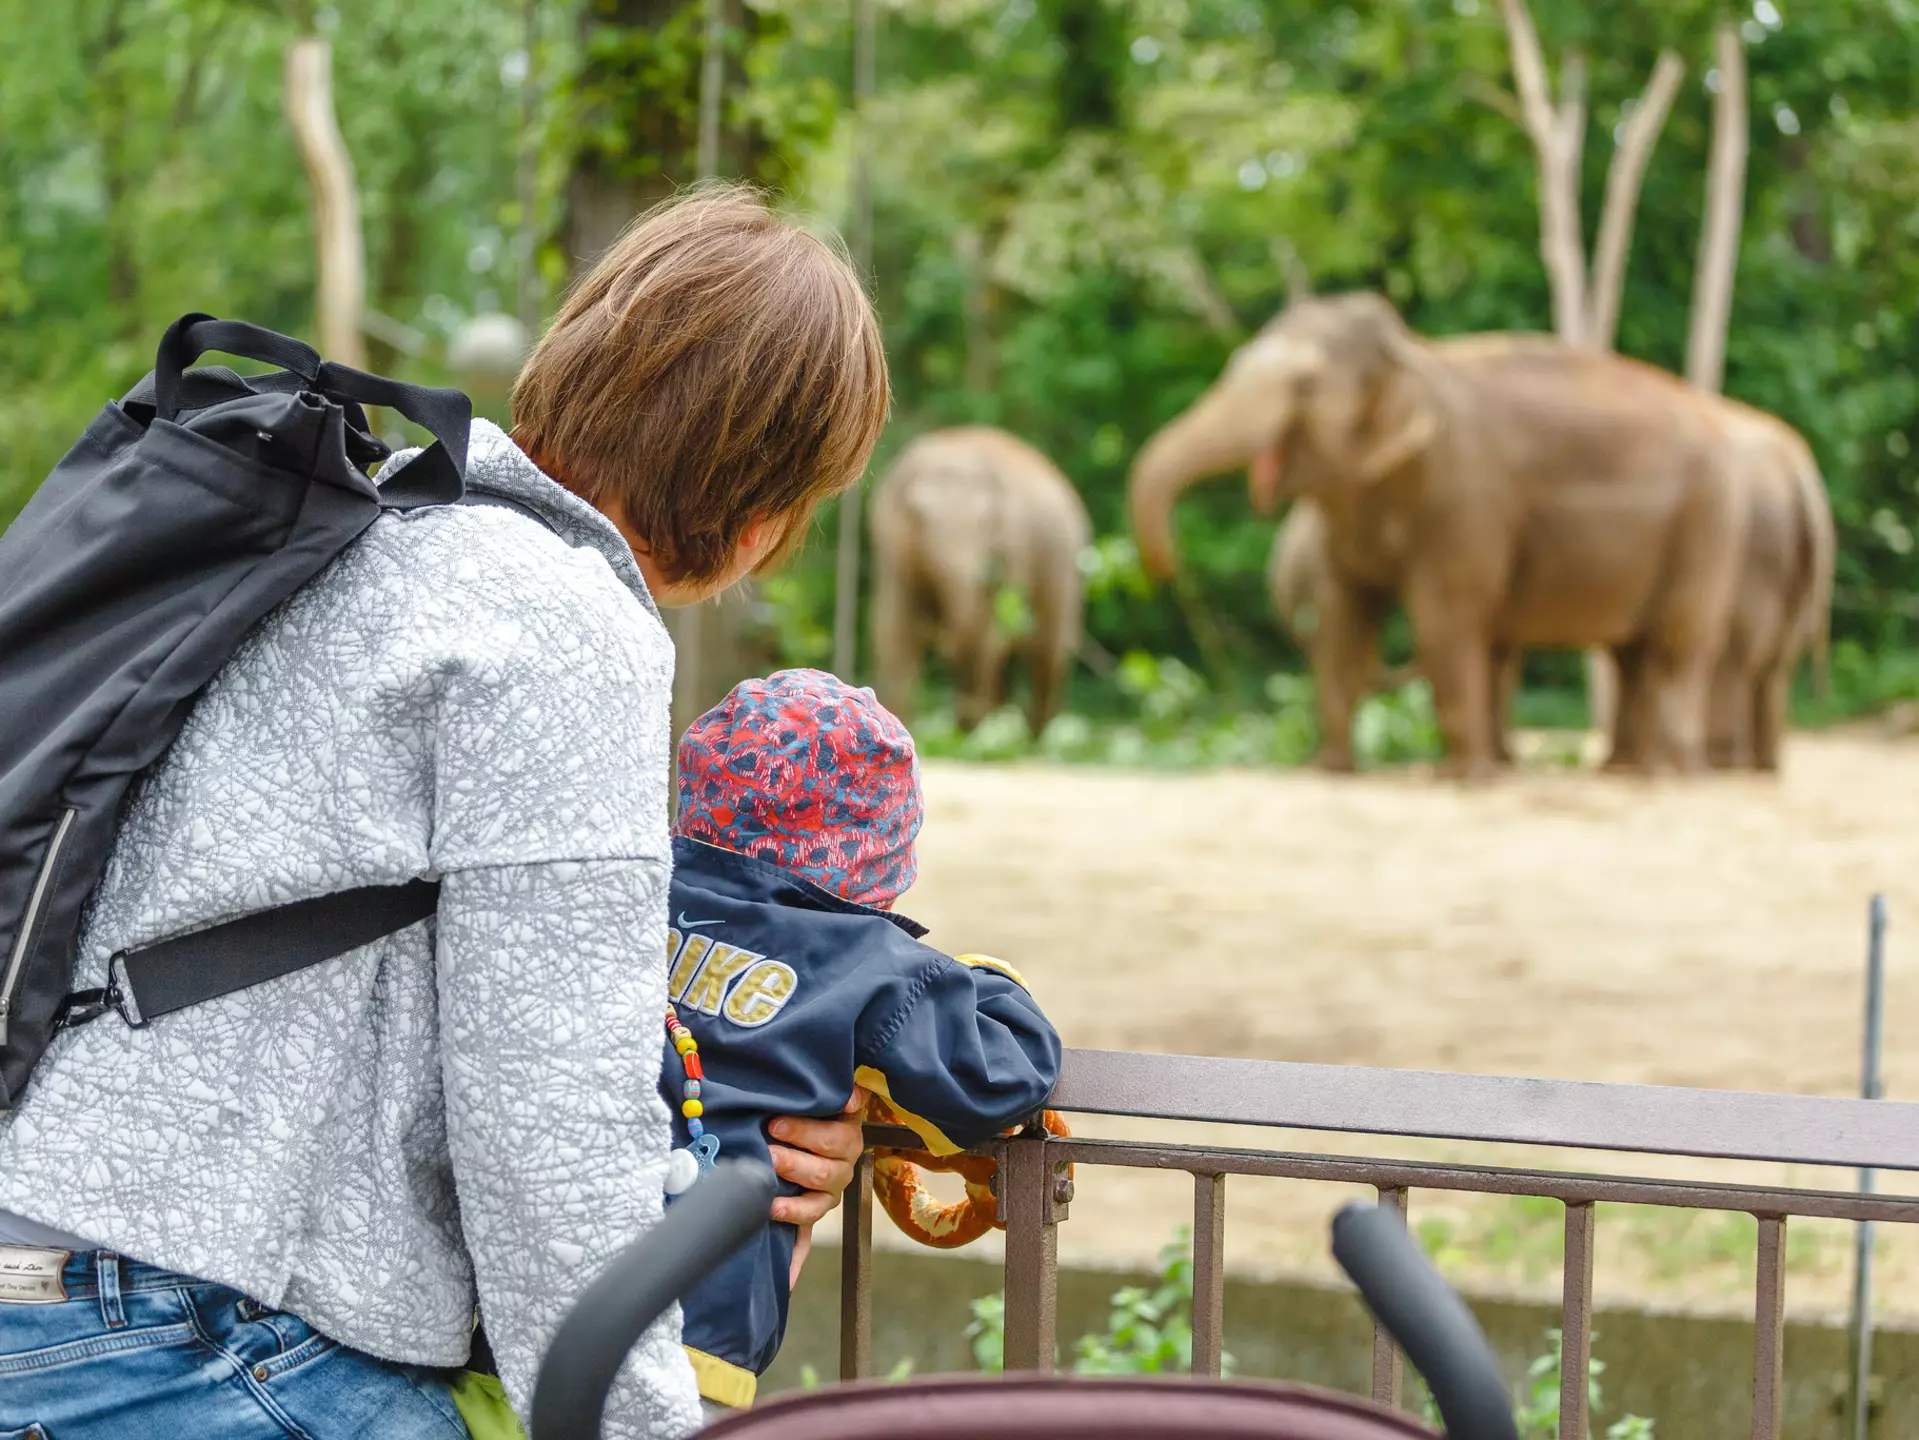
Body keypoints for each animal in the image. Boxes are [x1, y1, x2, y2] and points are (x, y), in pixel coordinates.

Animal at [870, 425, 1092, 736]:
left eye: (988, 522)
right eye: (917, 517)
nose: (944, 641)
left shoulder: (1012, 549)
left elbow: (986, 638)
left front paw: (964, 736)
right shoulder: (892, 554)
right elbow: (894, 634)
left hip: (1063, 566)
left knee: (1045, 657)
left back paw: (1030, 739)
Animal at [1129, 294, 1748, 777]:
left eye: (1305, 385)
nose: (1170, 571)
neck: (1412, 353)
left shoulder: (1464, 492)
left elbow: (1440, 613)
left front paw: (1461, 777)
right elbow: (1343, 615)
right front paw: (1330, 770)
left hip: (1706, 521)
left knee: (1677, 646)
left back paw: (1671, 775)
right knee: (1630, 654)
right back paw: (1625, 770)